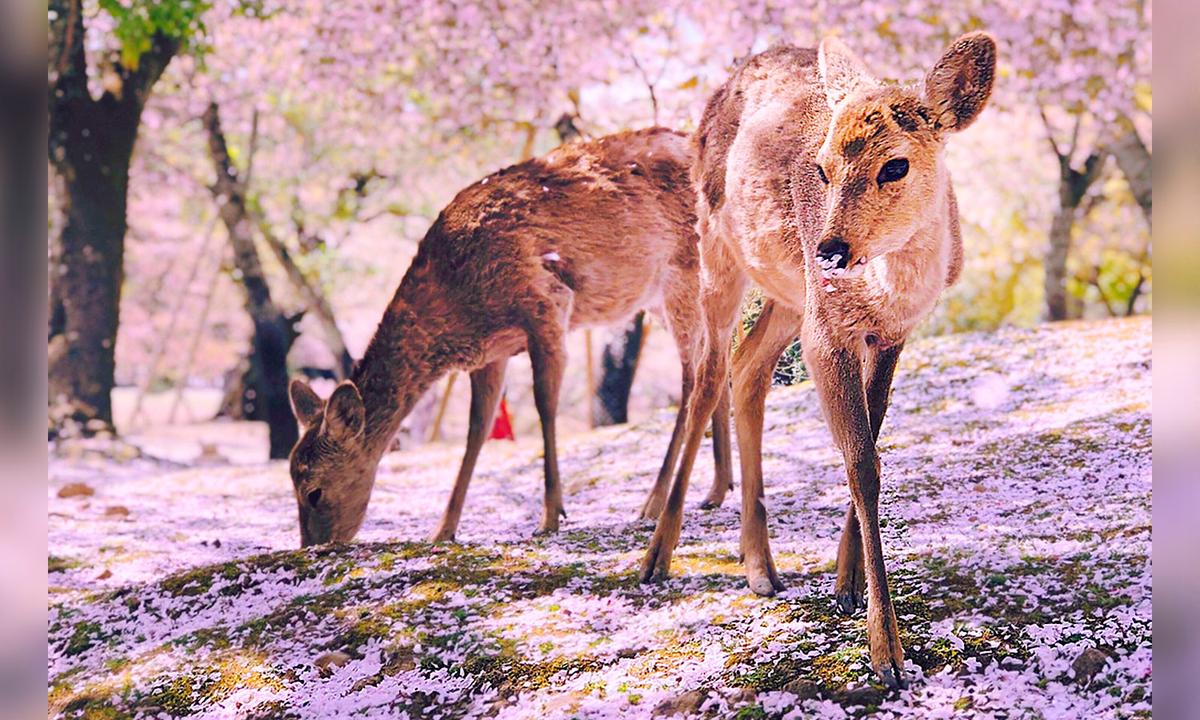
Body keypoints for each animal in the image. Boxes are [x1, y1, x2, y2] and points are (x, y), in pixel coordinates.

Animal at [285, 128, 735, 548]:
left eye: (314, 491)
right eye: (292, 481)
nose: (314, 546)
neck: (457, 304)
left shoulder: (546, 302)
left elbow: (544, 404)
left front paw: (550, 515)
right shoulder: (490, 354)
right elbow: (477, 428)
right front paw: (442, 529)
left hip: (682, 275)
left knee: (692, 375)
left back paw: (654, 501)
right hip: (667, 296)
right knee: (717, 360)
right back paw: (717, 488)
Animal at [636, 33, 996, 689]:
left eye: (896, 164)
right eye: (823, 168)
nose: (831, 249)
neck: (889, 294)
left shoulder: (890, 335)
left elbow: (871, 445)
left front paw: (845, 583)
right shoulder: (827, 332)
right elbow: (861, 461)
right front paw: (887, 654)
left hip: (787, 294)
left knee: (747, 369)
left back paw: (760, 567)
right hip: (718, 252)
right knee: (707, 376)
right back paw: (657, 557)